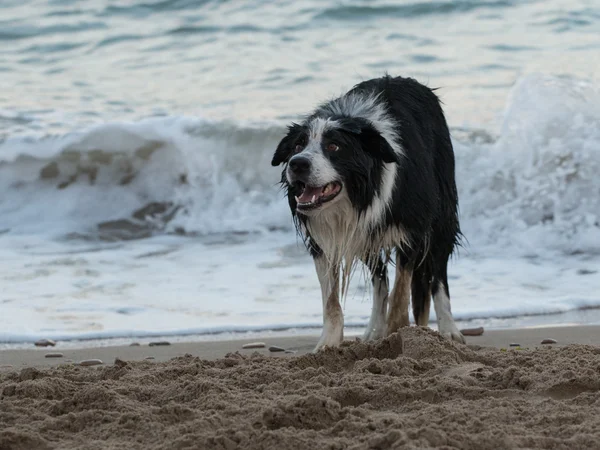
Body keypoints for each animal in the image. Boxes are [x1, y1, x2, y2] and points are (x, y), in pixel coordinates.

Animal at [272, 74, 464, 352]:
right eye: (298, 144)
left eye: (334, 147)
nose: (297, 164)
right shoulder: (327, 238)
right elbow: (331, 300)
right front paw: (328, 345)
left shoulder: (411, 230)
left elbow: (400, 293)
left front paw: (399, 333)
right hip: (365, 236)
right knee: (379, 280)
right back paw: (374, 331)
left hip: (442, 214)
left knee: (437, 273)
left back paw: (448, 329)